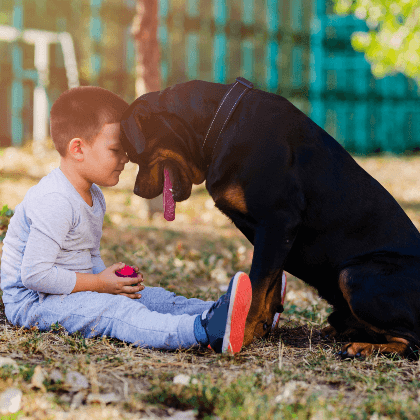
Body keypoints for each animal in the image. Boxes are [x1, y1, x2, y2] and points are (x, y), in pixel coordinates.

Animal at [118, 79, 420, 358]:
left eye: (133, 155)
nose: (136, 191)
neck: (220, 125)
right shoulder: (271, 236)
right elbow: (267, 288)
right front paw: (259, 328)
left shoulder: (278, 222)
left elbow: (258, 286)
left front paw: (240, 333)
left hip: (354, 274)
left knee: (412, 340)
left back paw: (363, 347)